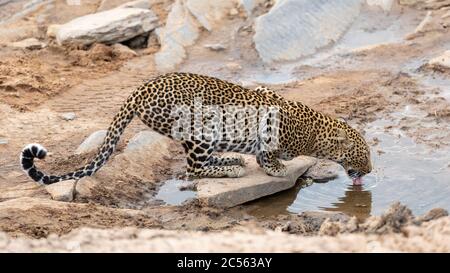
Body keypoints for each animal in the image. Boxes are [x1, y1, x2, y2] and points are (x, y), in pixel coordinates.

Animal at [20, 72, 372, 185]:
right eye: (364, 154)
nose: (369, 171)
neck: (315, 131)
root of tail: (140, 90)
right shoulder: (273, 129)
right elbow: (270, 156)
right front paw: (277, 168)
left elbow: (262, 154)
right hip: (199, 127)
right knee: (192, 170)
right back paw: (230, 169)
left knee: (198, 164)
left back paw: (231, 160)